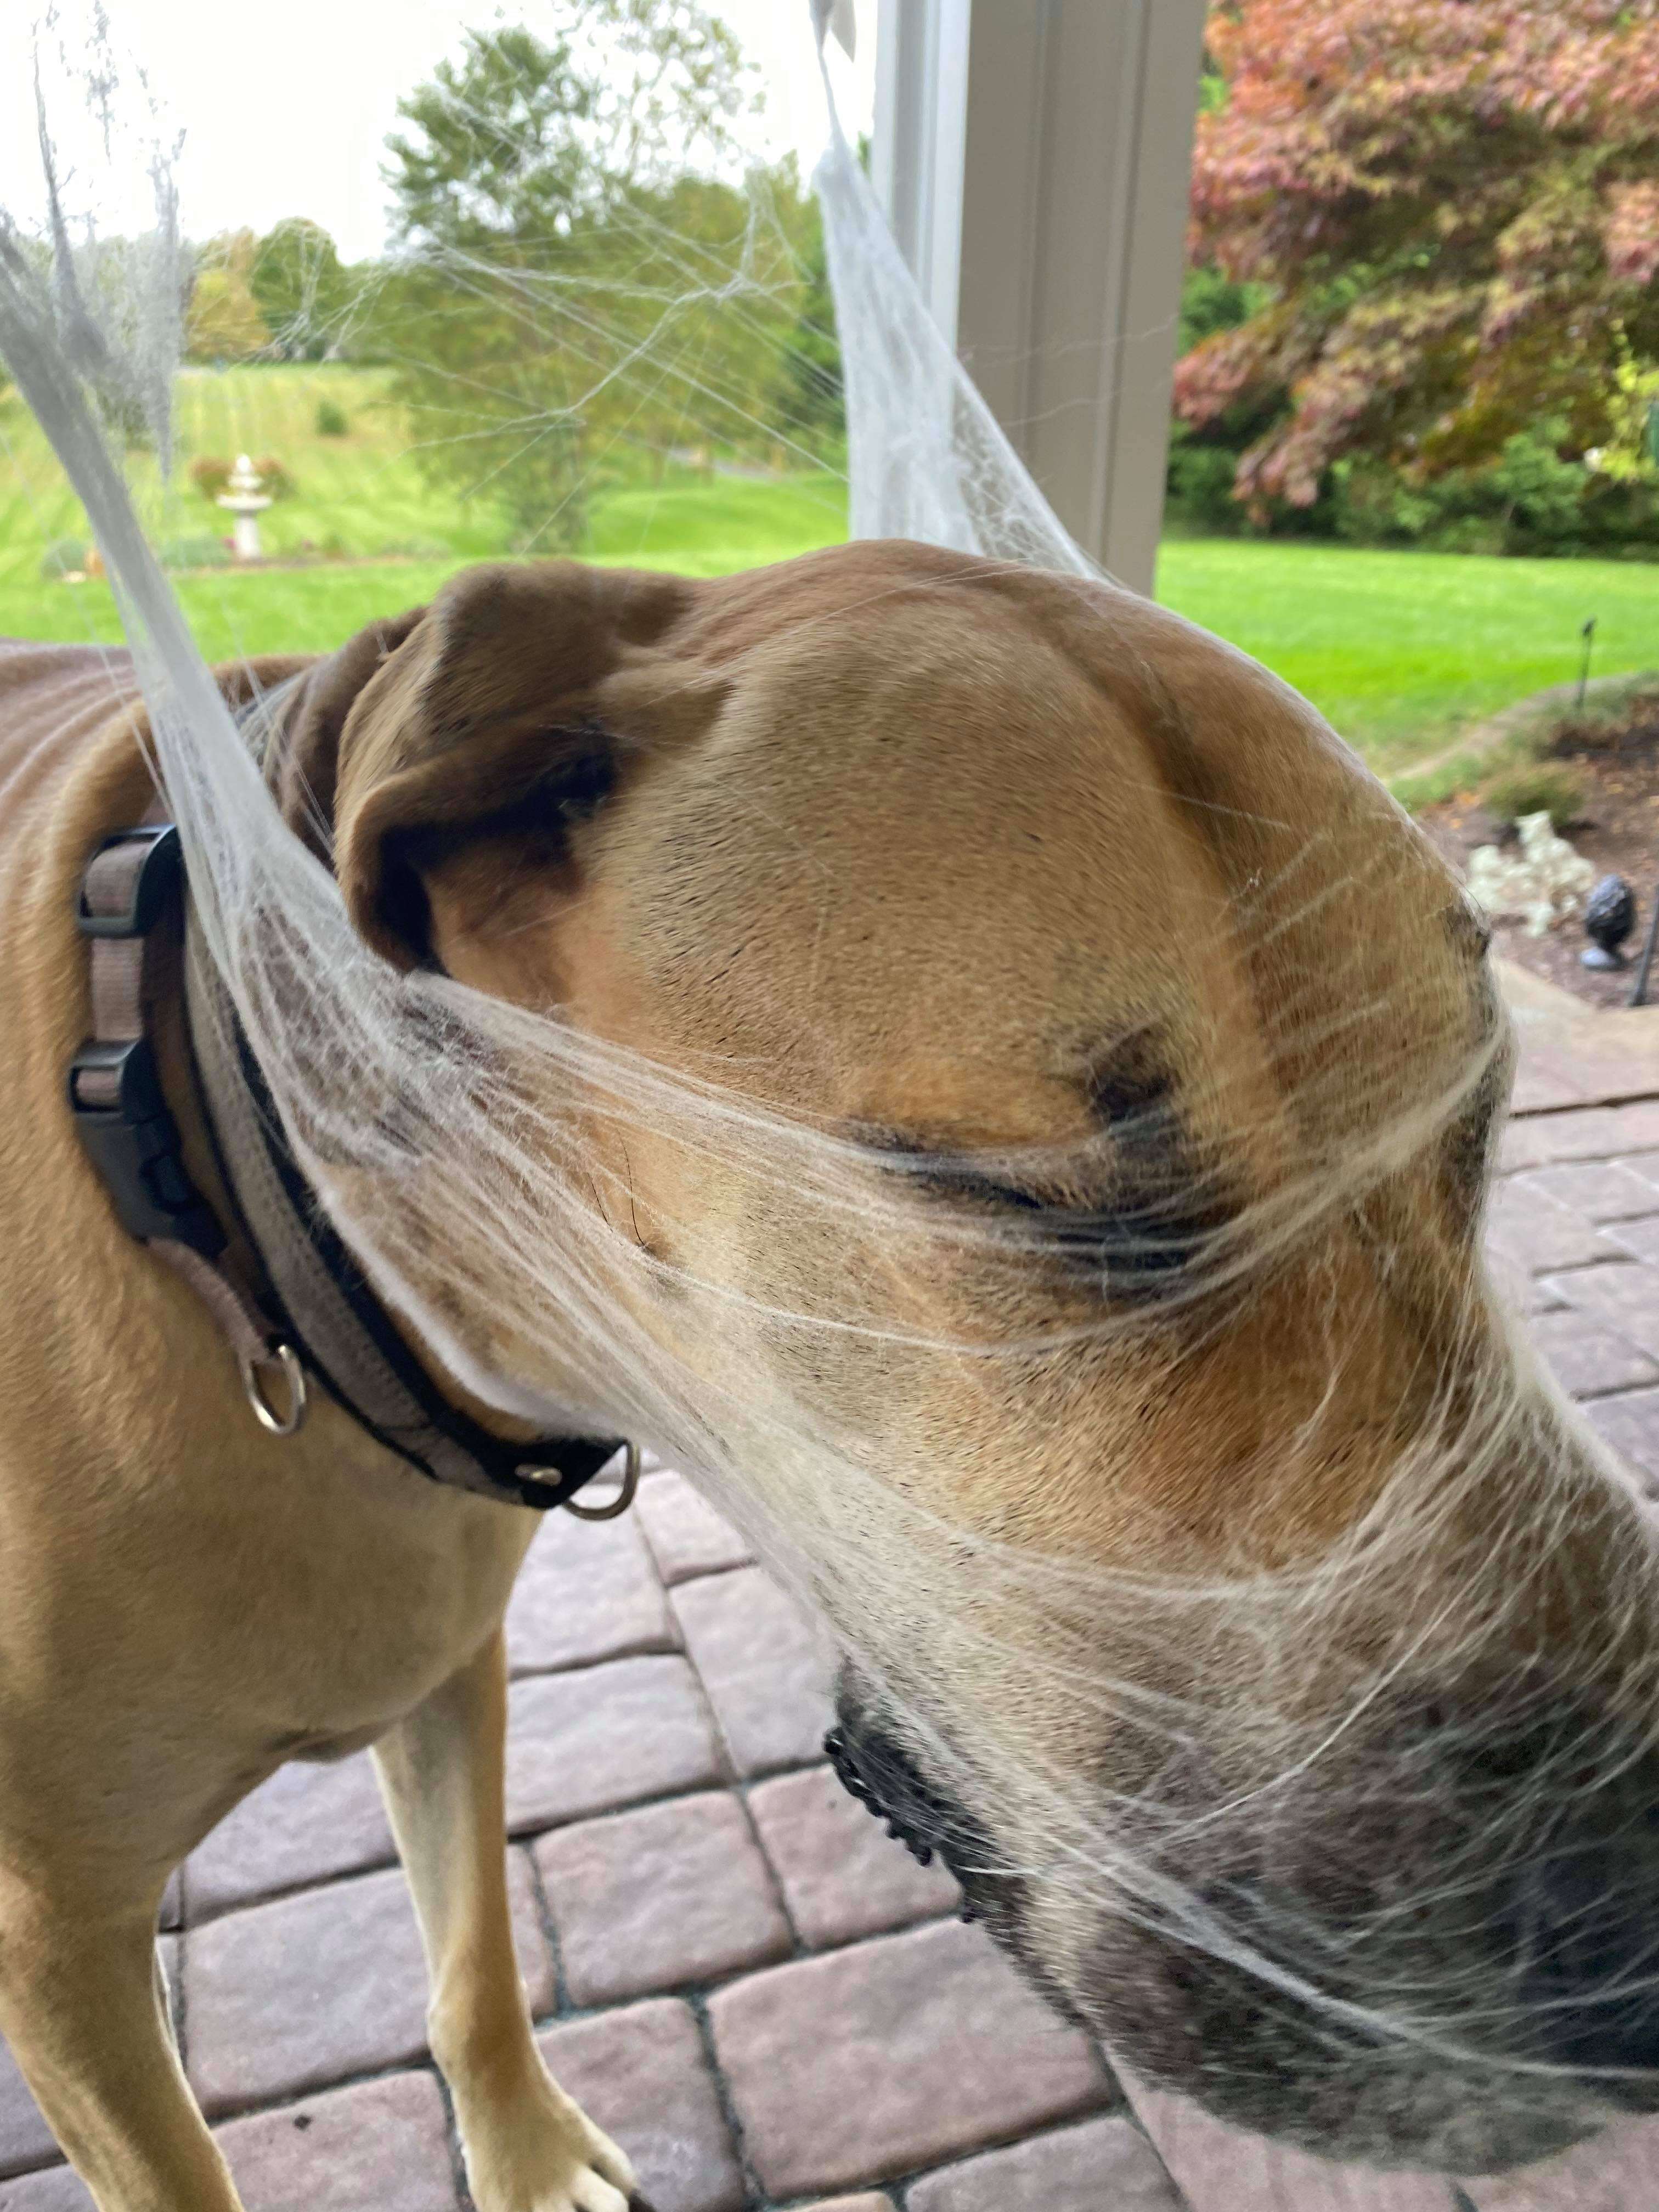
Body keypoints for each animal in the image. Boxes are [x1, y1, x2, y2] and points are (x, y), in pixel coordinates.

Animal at [3, 539, 1659, 2212]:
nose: (1636, 1950)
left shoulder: (451, 1677)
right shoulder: (56, 1942)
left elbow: (474, 1961)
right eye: (1032, 1195)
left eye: (1477, 1120)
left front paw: (523, 2152)